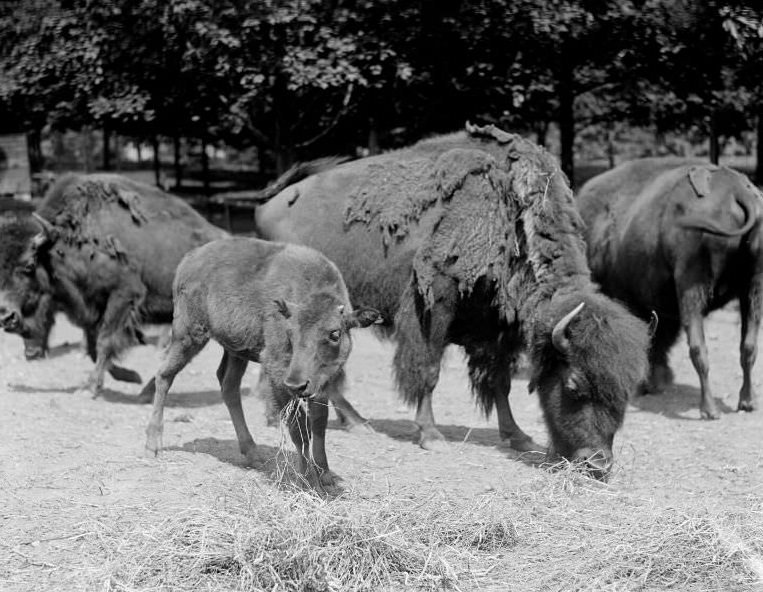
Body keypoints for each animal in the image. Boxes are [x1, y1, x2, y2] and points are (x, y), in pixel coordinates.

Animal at [144, 236, 382, 490]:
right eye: (290, 332)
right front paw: (308, 480)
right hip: (189, 334)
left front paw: (325, 474)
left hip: (235, 351)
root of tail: (190, 258)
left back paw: (253, 453)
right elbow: (299, 429)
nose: (297, 383)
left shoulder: (322, 383)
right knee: (164, 375)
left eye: (335, 333)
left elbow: (319, 424)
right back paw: (153, 444)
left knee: (228, 386)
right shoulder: (278, 375)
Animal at [256, 122, 652, 478]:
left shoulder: (498, 329)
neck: (511, 215)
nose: (597, 464)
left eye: (626, 394)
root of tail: (272, 201)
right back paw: (344, 420)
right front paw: (431, 436)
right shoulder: (436, 307)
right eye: (573, 385)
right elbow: (430, 372)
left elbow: (500, 382)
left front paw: (518, 436)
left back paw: (346, 420)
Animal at [580, 155, 763, 418]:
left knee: (698, 347)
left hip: (692, 286)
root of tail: (738, 191)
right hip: (753, 285)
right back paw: (747, 402)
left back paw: (709, 409)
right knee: (748, 346)